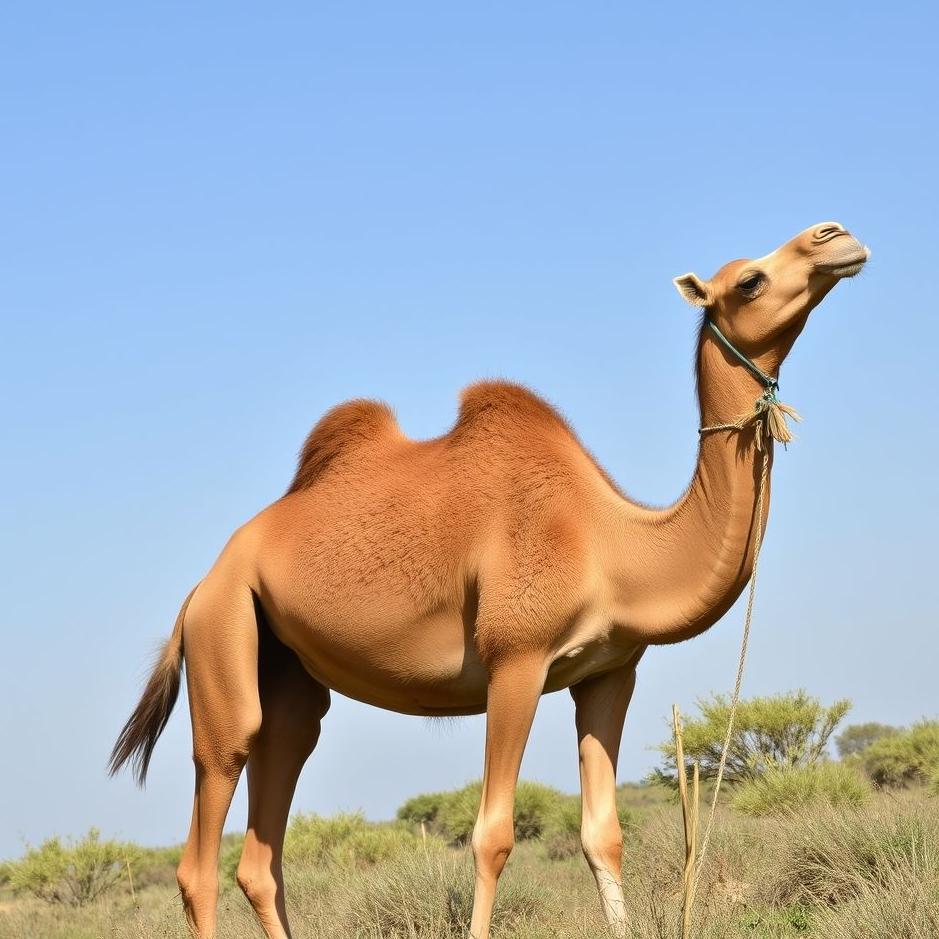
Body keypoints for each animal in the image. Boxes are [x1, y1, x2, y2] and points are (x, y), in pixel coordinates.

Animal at [110, 221, 868, 939]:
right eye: (748, 280)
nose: (836, 236)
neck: (615, 544)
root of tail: (203, 583)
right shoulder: (517, 659)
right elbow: (492, 835)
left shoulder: (608, 672)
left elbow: (603, 835)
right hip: (223, 631)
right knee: (207, 829)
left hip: (288, 672)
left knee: (268, 830)